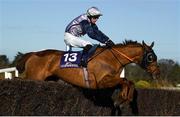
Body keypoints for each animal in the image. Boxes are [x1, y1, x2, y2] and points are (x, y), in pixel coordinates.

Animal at [16, 40, 160, 114]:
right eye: (150, 57)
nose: (157, 73)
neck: (112, 58)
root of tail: (33, 54)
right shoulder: (101, 82)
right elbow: (125, 81)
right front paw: (122, 99)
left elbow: (129, 82)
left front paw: (125, 99)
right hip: (35, 77)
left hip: (47, 79)